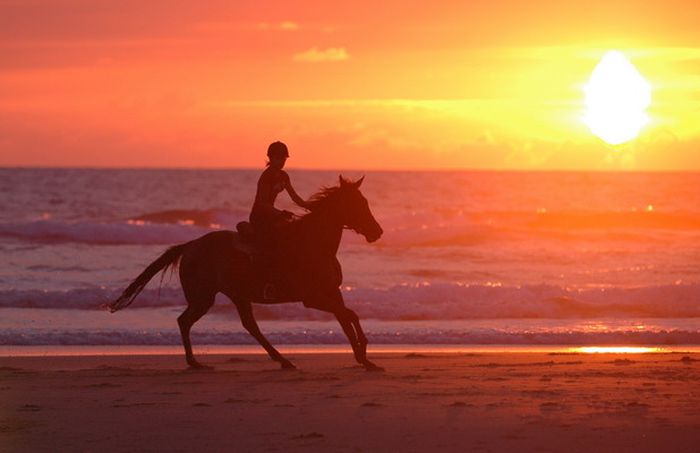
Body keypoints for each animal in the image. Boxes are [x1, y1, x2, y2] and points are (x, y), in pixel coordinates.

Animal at [106, 175, 386, 370]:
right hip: (203, 298)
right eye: (357, 203)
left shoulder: (332, 293)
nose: (377, 232)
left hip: (236, 295)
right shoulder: (313, 298)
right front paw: (364, 355)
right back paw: (195, 363)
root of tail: (191, 245)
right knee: (184, 321)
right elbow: (349, 316)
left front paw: (364, 357)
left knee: (250, 325)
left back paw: (282, 360)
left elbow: (348, 318)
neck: (314, 243)